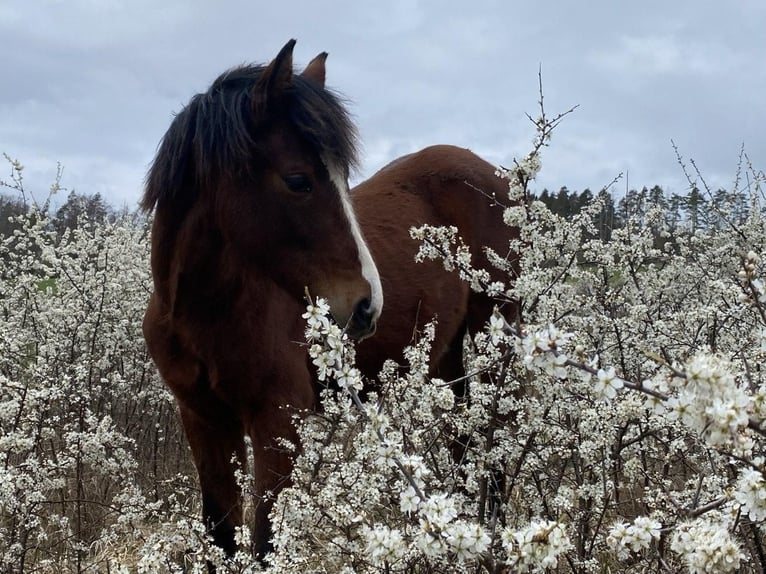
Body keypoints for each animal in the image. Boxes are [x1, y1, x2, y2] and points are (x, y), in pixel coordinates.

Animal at [141, 40, 520, 564]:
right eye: (299, 180)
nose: (366, 306)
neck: (206, 314)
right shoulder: (203, 419)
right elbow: (223, 535)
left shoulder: (280, 422)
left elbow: (266, 542)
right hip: (448, 361)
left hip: (495, 341)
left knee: (497, 446)